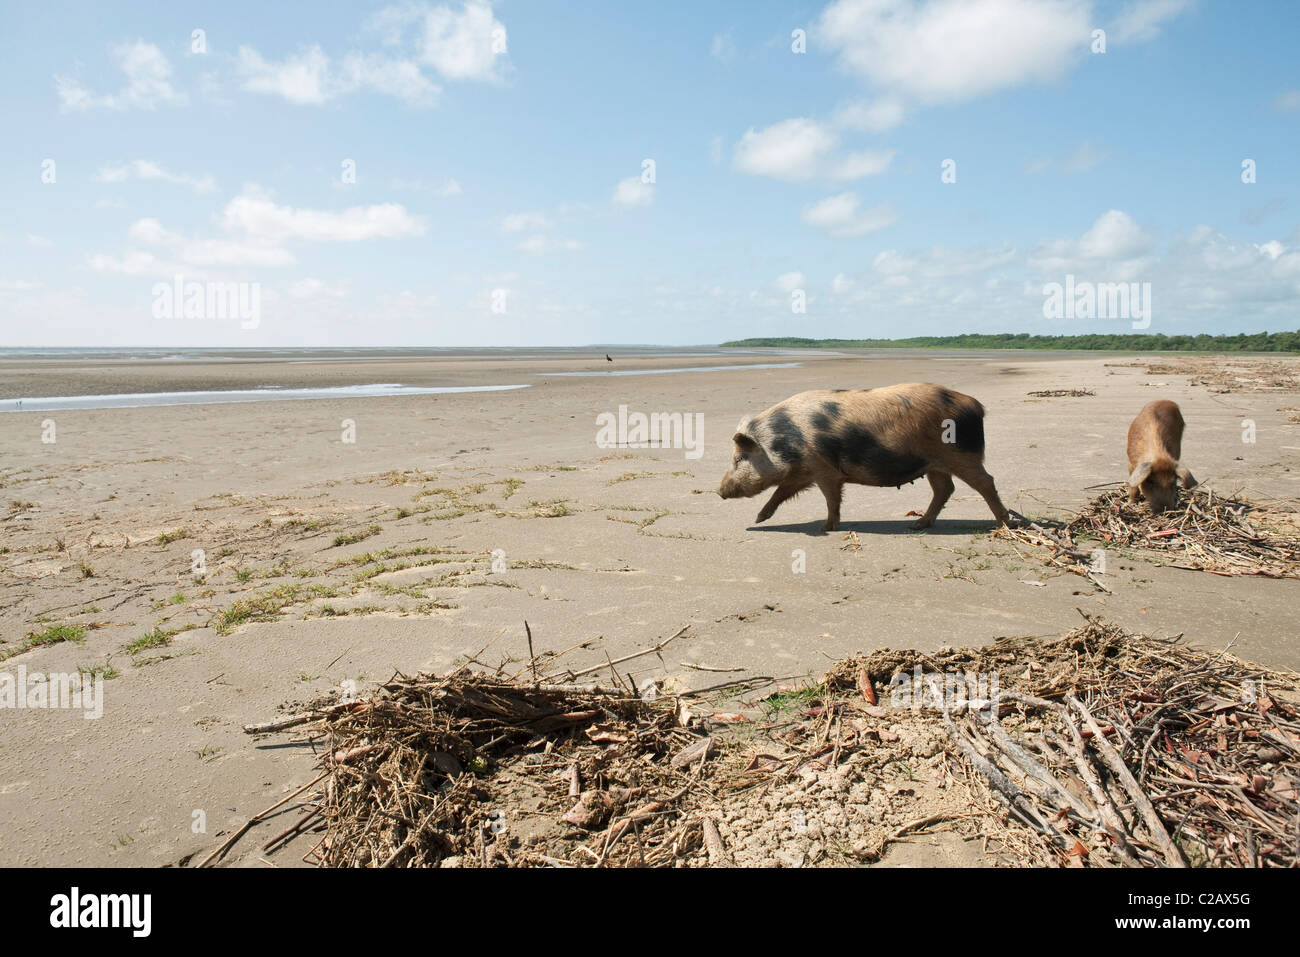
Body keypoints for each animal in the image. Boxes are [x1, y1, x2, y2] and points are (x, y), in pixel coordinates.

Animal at [717, 382, 1008, 530]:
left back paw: (1004, 524)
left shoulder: (824, 470)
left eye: (738, 460)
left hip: (961, 454)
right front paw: (759, 518)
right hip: (934, 464)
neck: (783, 441)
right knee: (945, 489)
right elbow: (781, 492)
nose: (719, 491)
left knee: (986, 482)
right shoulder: (804, 472)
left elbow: (831, 499)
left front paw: (827, 528)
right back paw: (918, 525)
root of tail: (975, 405)